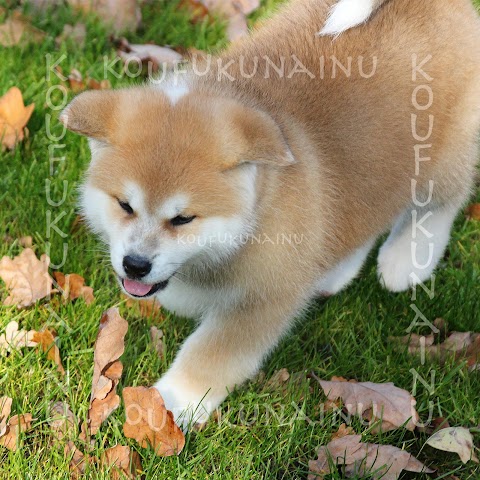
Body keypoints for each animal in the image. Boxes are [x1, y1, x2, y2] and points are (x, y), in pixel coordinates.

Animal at [61, 0, 480, 428]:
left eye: (182, 219)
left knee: (442, 201)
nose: (135, 265)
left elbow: (212, 354)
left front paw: (172, 402)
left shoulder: (262, 299)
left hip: (440, 157)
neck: (257, 212)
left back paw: (408, 260)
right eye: (125, 205)